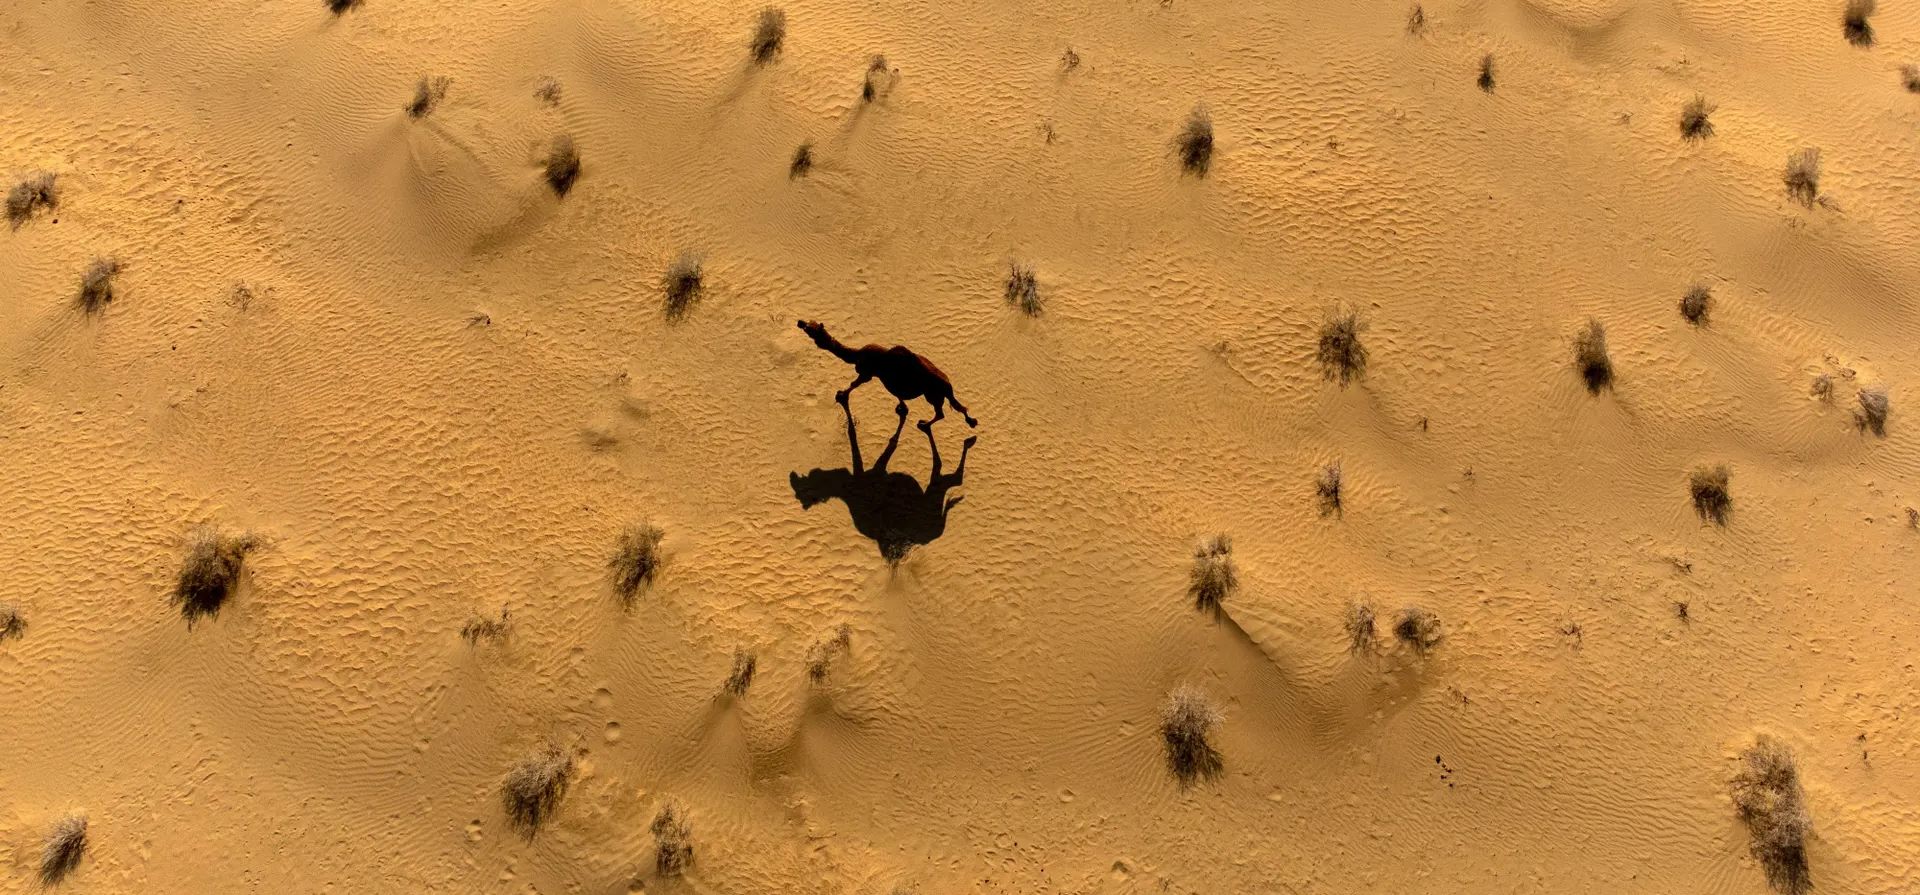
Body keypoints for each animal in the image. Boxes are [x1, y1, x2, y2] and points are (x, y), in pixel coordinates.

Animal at [797, 320, 977, 432]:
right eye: (810, 324)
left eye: (811, 329)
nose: (800, 323)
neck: (856, 354)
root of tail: (948, 385)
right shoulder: (888, 380)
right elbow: (898, 395)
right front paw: (901, 408)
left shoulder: (867, 372)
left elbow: (855, 383)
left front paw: (841, 395)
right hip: (936, 394)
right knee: (956, 408)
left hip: (932, 394)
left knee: (941, 412)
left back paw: (925, 424)